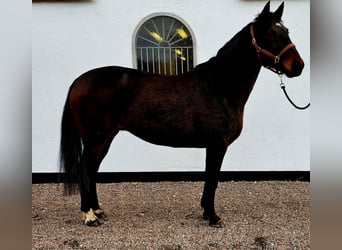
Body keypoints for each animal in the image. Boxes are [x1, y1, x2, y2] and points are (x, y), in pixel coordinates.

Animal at [58, 1, 304, 229]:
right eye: (271, 33)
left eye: (287, 31)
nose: (299, 66)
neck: (219, 86)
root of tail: (80, 80)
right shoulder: (217, 144)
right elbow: (213, 179)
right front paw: (213, 217)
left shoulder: (213, 145)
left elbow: (210, 178)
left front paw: (206, 212)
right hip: (96, 138)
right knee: (85, 168)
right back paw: (89, 216)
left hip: (106, 137)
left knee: (92, 170)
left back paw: (98, 211)